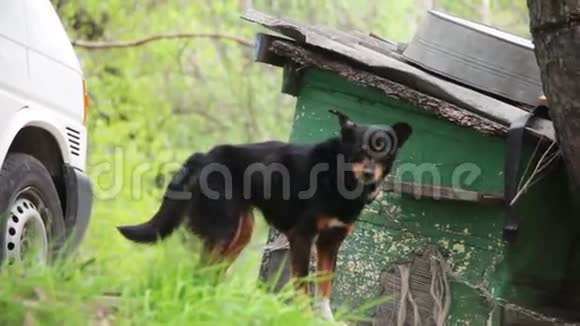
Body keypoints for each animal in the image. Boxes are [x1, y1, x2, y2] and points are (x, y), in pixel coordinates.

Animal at [118, 111, 410, 320]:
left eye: (383, 151)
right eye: (360, 150)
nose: (369, 174)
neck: (340, 177)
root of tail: (207, 154)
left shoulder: (330, 243)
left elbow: (325, 287)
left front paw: (326, 320)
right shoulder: (303, 237)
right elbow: (303, 286)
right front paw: (303, 317)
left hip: (241, 231)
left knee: (212, 271)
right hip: (223, 230)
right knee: (202, 269)